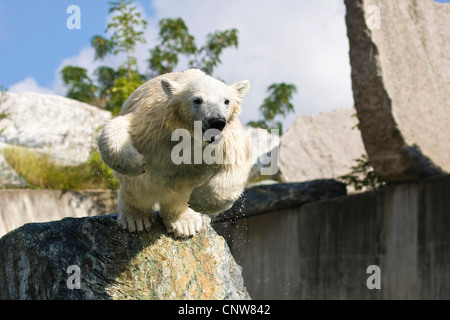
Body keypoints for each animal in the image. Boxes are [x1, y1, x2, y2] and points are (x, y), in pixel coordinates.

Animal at [98, 68, 251, 238]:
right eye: (197, 100)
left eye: (226, 101)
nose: (216, 121)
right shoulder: (154, 123)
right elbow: (120, 126)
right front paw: (135, 163)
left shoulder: (226, 139)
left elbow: (234, 166)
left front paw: (197, 200)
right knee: (136, 188)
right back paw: (137, 219)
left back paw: (185, 223)